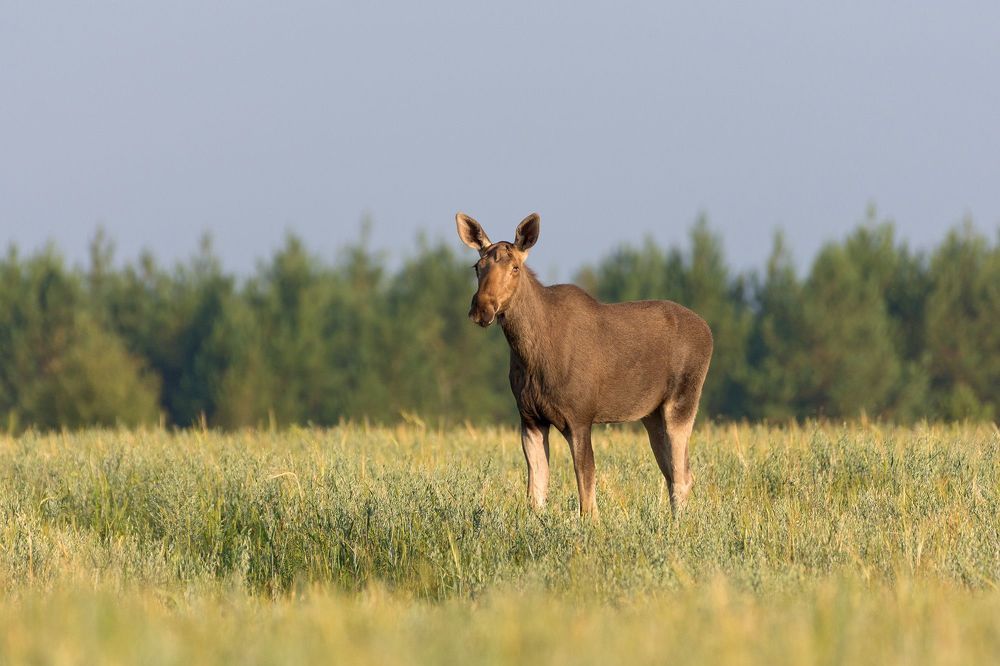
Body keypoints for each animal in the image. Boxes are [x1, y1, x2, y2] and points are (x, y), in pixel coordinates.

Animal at [456, 212, 713, 516]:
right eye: (477, 266)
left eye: (515, 267)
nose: (482, 308)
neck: (531, 355)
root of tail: (708, 332)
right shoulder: (529, 418)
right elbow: (536, 492)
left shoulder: (579, 416)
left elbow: (587, 489)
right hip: (652, 414)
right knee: (674, 472)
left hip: (683, 401)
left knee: (682, 474)